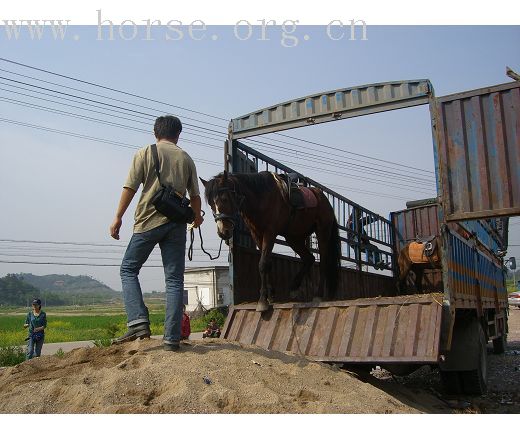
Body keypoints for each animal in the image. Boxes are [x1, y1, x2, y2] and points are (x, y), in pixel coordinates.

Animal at [202, 170, 342, 312]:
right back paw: (294, 287)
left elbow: (263, 264)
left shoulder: (270, 233)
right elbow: (268, 263)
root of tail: (324, 200)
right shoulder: (257, 234)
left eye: (224, 199)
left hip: (322, 232)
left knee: (322, 262)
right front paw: (270, 296)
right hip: (294, 237)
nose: (222, 232)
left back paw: (318, 295)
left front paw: (262, 301)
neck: (260, 197)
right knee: (309, 258)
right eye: (211, 204)